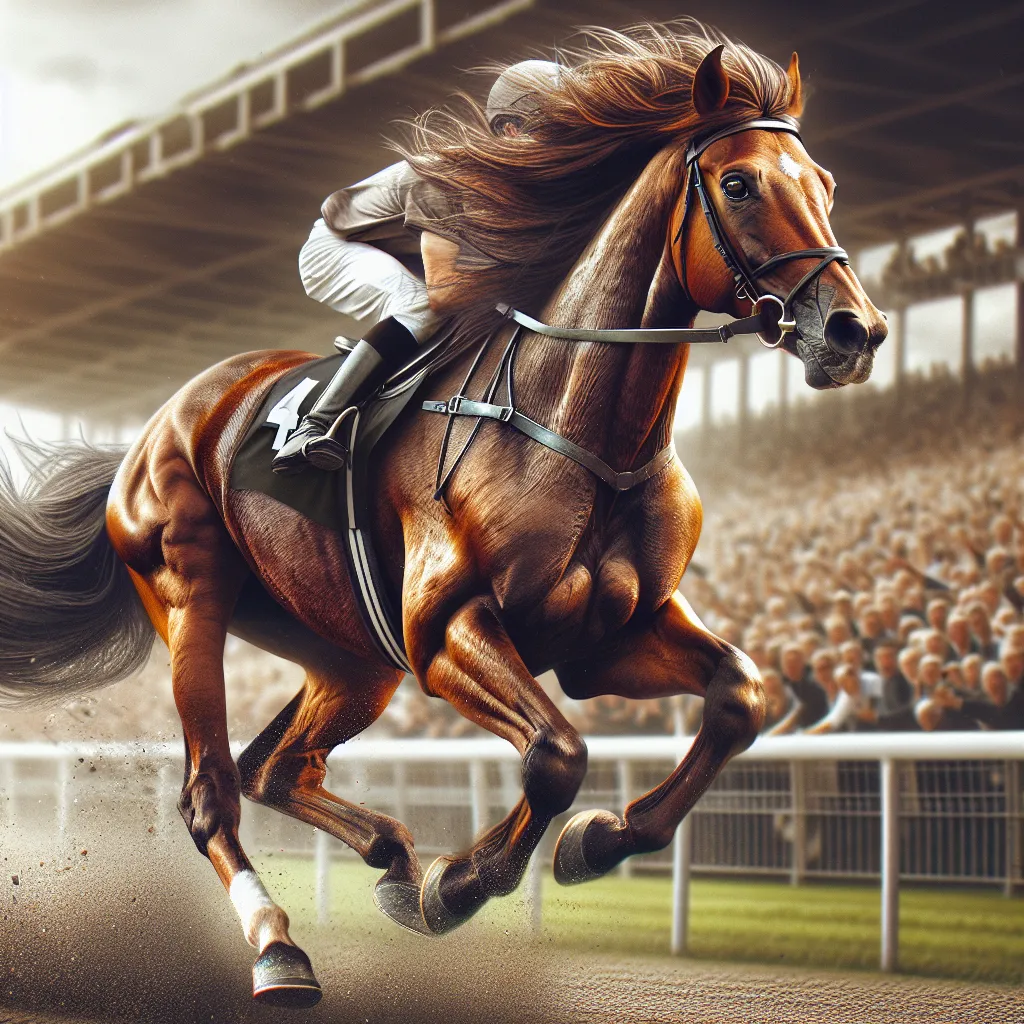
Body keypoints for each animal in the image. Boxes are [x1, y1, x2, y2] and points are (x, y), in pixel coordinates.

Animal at [0, 24, 885, 1007]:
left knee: (277, 764)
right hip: (192, 593)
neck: (579, 426)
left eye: (826, 184)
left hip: (349, 653)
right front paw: (461, 882)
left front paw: (594, 841)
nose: (854, 332)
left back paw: (389, 856)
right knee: (211, 794)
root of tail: (153, 429)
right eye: (738, 184)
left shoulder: (610, 635)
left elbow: (740, 695)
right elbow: (557, 753)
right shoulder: (447, 626)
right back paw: (281, 949)